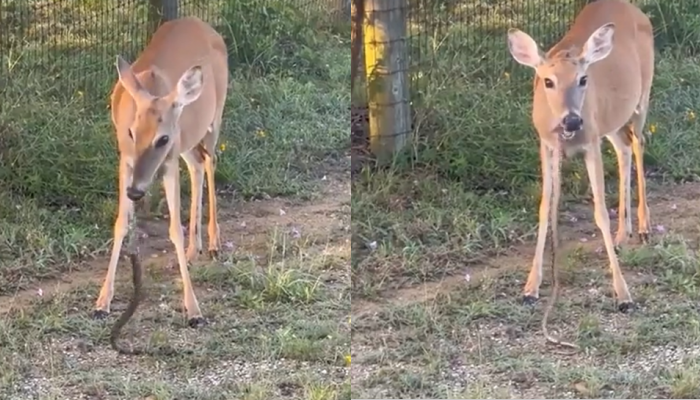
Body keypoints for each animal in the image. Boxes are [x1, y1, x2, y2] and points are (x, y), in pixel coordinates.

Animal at [93, 16, 228, 328]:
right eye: (131, 132)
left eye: (162, 138)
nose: (135, 191)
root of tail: (201, 23)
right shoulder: (125, 159)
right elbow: (121, 222)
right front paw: (102, 301)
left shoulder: (168, 160)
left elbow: (174, 228)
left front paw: (194, 310)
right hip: (188, 141)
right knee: (198, 164)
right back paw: (193, 250)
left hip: (214, 117)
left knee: (211, 161)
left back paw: (213, 244)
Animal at [506, 0, 652, 318]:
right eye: (547, 81)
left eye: (583, 79)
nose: (572, 120)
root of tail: (632, 8)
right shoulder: (547, 145)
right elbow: (545, 208)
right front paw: (530, 288)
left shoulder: (590, 142)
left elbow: (600, 212)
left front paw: (624, 295)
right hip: (611, 121)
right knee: (624, 147)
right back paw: (623, 235)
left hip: (642, 96)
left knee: (638, 143)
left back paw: (644, 227)